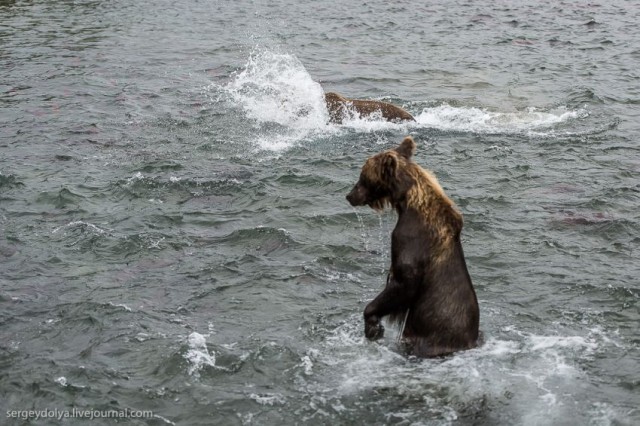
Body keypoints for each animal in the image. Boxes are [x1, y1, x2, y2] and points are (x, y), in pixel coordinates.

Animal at [348, 136, 478, 356]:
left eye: (363, 175)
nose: (349, 195)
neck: (406, 204)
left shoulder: (410, 242)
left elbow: (404, 283)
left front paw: (373, 325)